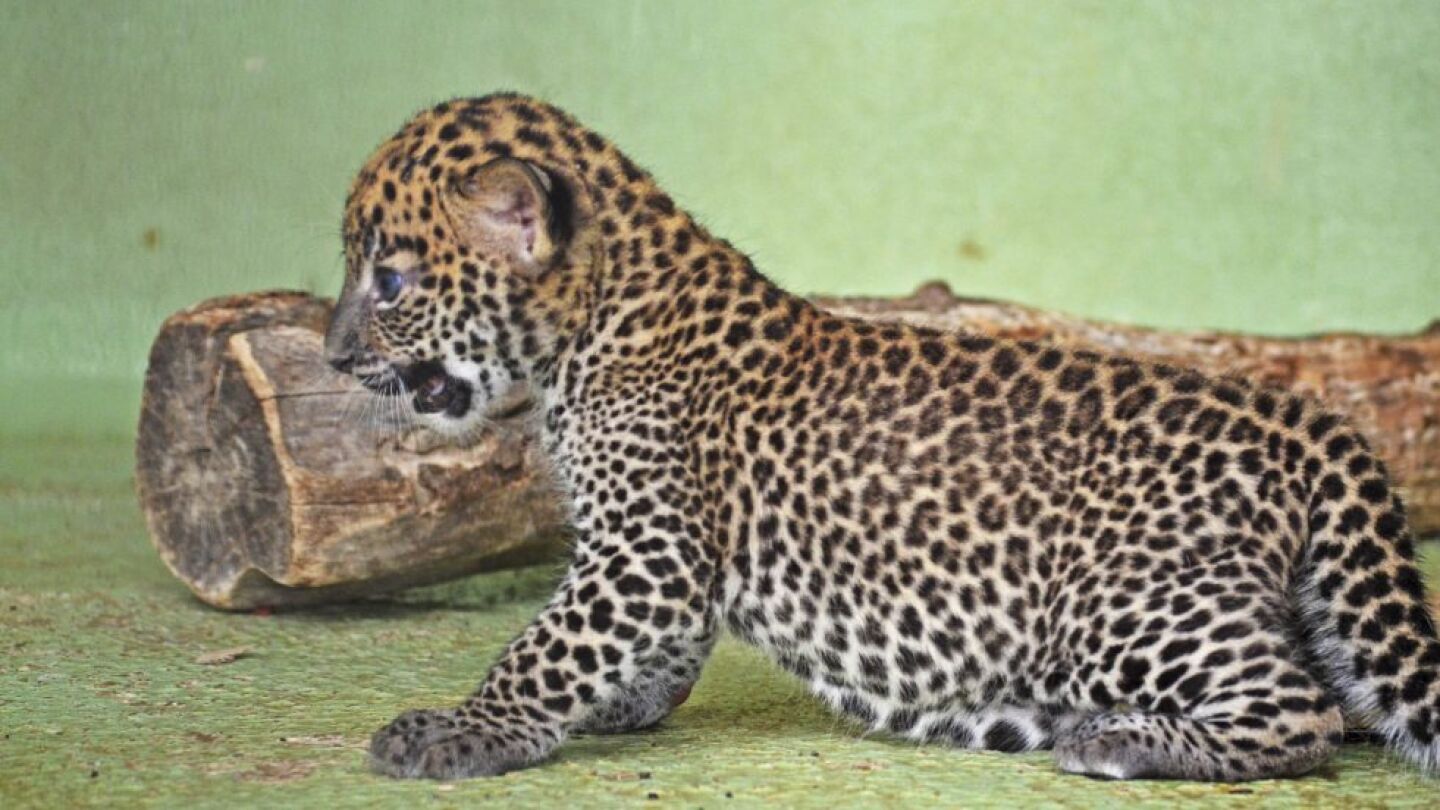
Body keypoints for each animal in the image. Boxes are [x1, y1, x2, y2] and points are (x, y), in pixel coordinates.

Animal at [322, 92, 1440, 782]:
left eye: (392, 280)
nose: (332, 353)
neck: (591, 330)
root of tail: (1310, 422)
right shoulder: (664, 554)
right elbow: (639, 649)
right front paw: (620, 705)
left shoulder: (647, 547)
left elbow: (549, 646)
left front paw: (467, 730)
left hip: (1123, 605)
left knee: (1305, 710)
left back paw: (1124, 741)